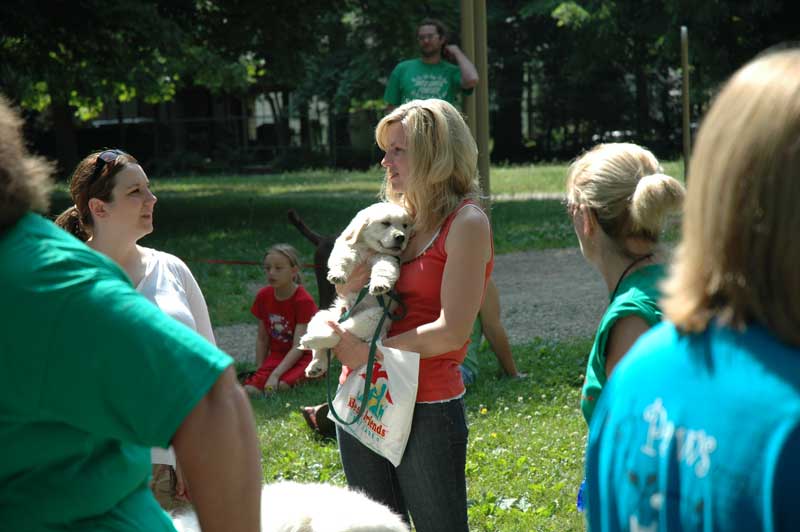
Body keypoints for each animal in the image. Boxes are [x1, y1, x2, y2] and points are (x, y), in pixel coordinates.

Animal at [302, 202, 412, 376]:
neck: (369, 248)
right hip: (322, 315)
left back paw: (311, 342)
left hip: (377, 316)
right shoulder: (348, 247)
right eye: (385, 223)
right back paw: (315, 364)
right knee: (327, 342)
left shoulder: (388, 258)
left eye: (405, 226)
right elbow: (342, 258)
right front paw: (337, 274)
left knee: (340, 333)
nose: (401, 237)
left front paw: (380, 285)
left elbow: (384, 268)